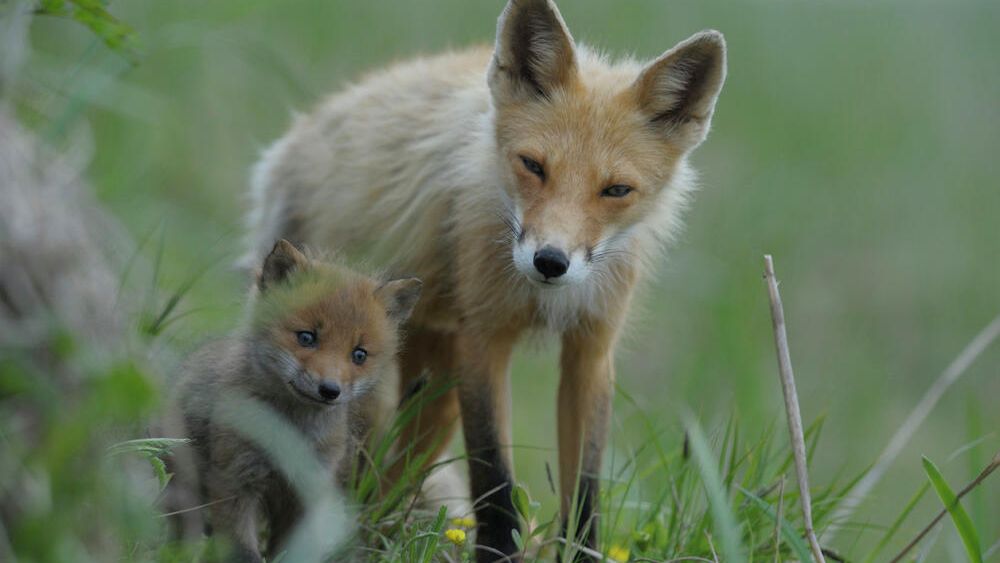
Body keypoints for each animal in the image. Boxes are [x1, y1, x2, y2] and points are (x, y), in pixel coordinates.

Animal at [166, 240, 421, 562]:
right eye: (306, 337)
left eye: (359, 355)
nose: (330, 390)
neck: (291, 432)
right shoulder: (234, 480)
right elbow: (243, 550)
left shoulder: (306, 491)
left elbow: (290, 551)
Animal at [243, 0, 727, 559]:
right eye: (533, 166)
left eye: (616, 190)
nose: (550, 261)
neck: (541, 299)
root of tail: (297, 136)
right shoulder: (482, 339)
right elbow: (493, 475)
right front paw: (498, 551)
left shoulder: (590, 348)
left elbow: (585, 488)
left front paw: (579, 550)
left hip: (433, 391)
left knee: (392, 478)